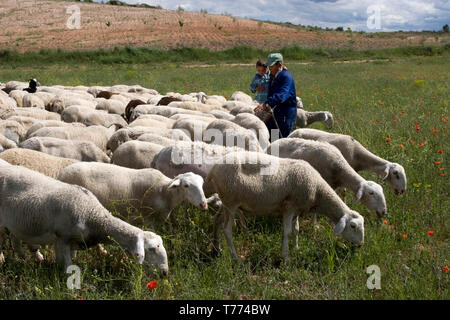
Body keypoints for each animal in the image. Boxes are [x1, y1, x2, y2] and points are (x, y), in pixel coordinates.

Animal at [0, 162, 169, 276]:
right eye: (151, 249)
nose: (165, 273)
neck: (93, 216)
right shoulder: (63, 237)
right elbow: (68, 266)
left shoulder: (74, 241)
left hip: (18, 220)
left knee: (15, 238)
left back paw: (25, 259)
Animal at [57, 161, 209, 221]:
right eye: (186, 186)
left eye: (202, 184)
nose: (204, 205)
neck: (164, 191)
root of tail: (61, 174)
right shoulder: (147, 217)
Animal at [207, 152, 366, 262]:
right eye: (353, 226)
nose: (360, 245)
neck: (317, 190)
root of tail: (214, 168)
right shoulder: (290, 207)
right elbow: (287, 232)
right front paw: (285, 257)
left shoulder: (297, 209)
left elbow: (296, 229)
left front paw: (296, 248)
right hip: (231, 202)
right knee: (227, 229)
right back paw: (235, 258)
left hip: (226, 201)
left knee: (217, 220)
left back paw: (216, 248)